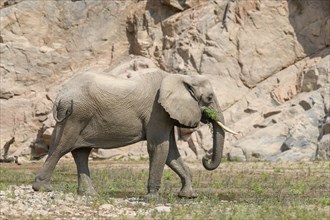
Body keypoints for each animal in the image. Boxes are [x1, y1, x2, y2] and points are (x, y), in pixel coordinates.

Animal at [32, 68, 236, 199]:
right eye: (209, 98)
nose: (205, 158)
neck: (180, 77)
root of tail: (61, 93)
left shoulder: (165, 113)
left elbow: (171, 152)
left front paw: (189, 196)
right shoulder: (157, 111)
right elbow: (159, 148)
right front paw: (153, 198)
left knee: (80, 152)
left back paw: (89, 194)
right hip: (75, 115)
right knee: (61, 148)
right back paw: (42, 188)